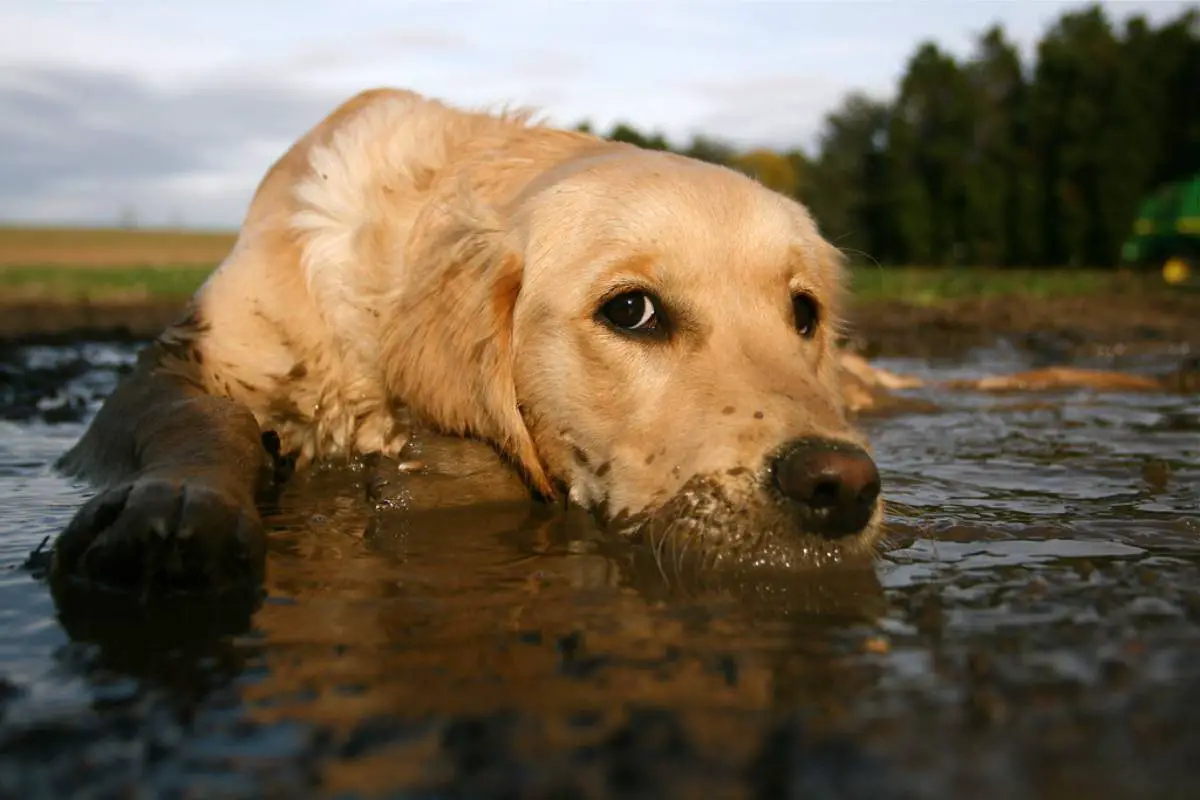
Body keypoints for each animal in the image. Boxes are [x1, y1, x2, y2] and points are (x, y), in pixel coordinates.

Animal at [49, 89, 1190, 599]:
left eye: (804, 312)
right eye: (632, 311)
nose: (841, 486)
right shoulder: (175, 366)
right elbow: (200, 427)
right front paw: (174, 511)